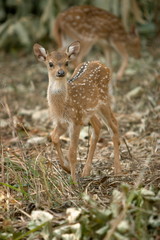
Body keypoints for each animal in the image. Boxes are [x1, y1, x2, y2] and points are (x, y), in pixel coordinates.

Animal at [33, 40, 121, 182]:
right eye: (50, 63)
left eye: (66, 62)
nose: (61, 72)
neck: (62, 105)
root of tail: (102, 64)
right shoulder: (62, 122)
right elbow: (53, 137)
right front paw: (67, 168)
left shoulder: (75, 121)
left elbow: (72, 152)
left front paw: (73, 181)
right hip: (90, 111)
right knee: (99, 126)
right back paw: (86, 171)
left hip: (103, 101)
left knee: (113, 125)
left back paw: (118, 170)